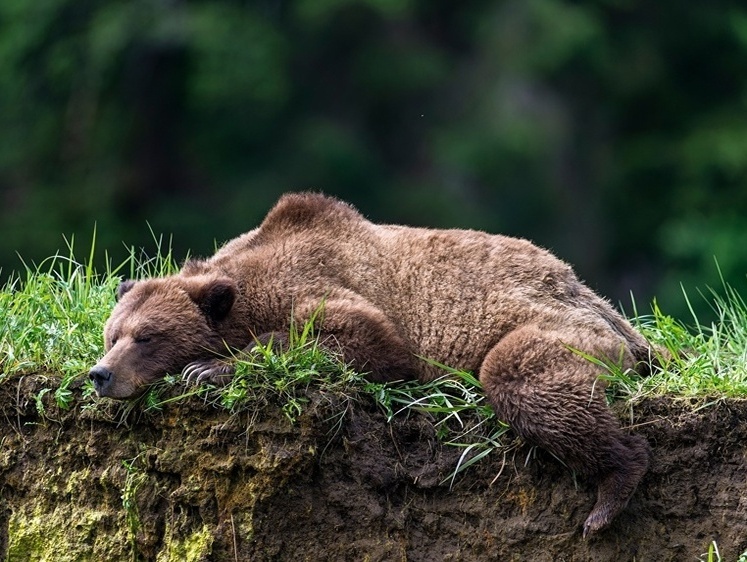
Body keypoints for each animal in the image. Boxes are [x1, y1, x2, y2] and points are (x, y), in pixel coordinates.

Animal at [90, 191, 656, 532]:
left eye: (146, 337)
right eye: (112, 334)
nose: (100, 374)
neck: (249, 289)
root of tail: (587, 291)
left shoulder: (334, 287)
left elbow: (364, 340)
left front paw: (209, 368)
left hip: (555, 324)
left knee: (522, 376)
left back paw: (609, 495)